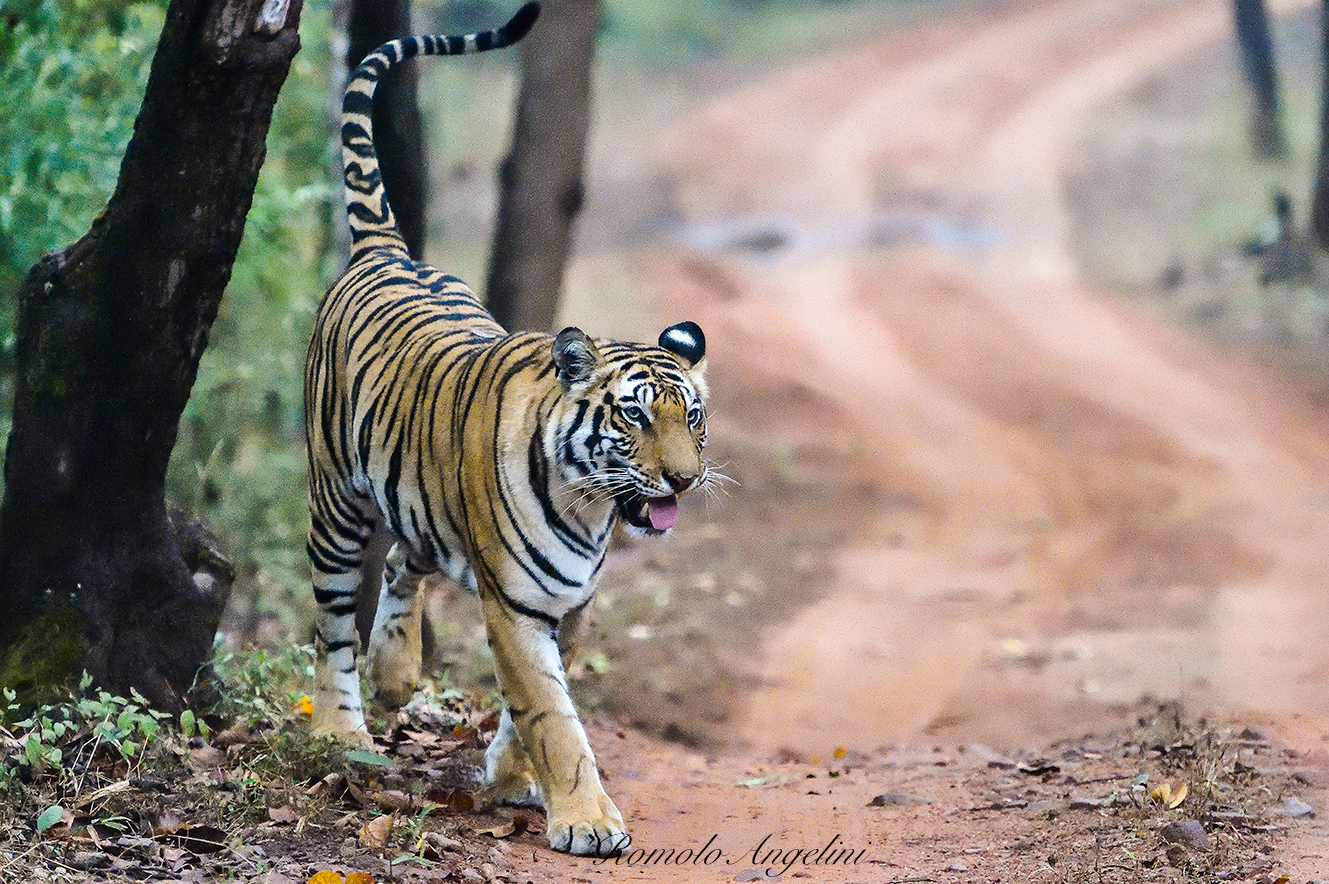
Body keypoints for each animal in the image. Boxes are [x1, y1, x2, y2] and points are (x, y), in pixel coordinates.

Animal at [304, 2, 716, 858]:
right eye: (634, 415)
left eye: (690, 416)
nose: (684, 479)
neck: (592, 510)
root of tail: (388, 250)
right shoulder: (521, 604)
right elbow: (552, 713)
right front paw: (586, 819)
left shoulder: (569, 601)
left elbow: (532, 704)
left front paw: (511, 776)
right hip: (334, 503)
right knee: (331, 624)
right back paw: (339, 732)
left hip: (417, 499)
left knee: (404, 558)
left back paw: (396, 671)